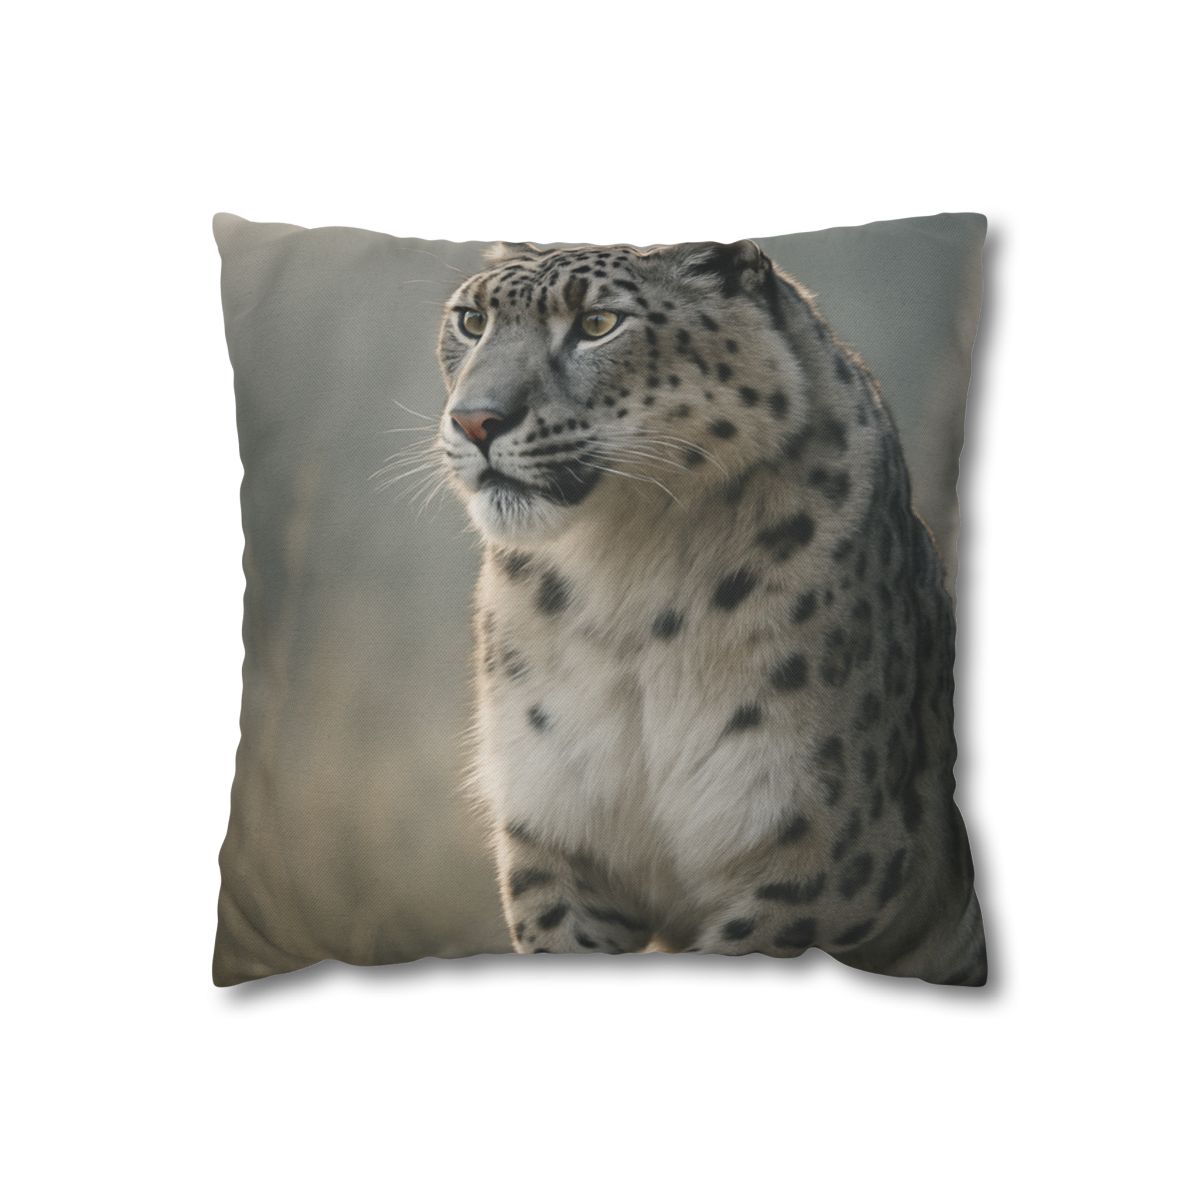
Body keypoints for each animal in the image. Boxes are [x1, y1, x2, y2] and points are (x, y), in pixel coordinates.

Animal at [434, 238, 986, 985]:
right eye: (471, 321)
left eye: (598, 323)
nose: (476, 420)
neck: (622, 577)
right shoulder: (556, 833)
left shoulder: (819, 862)